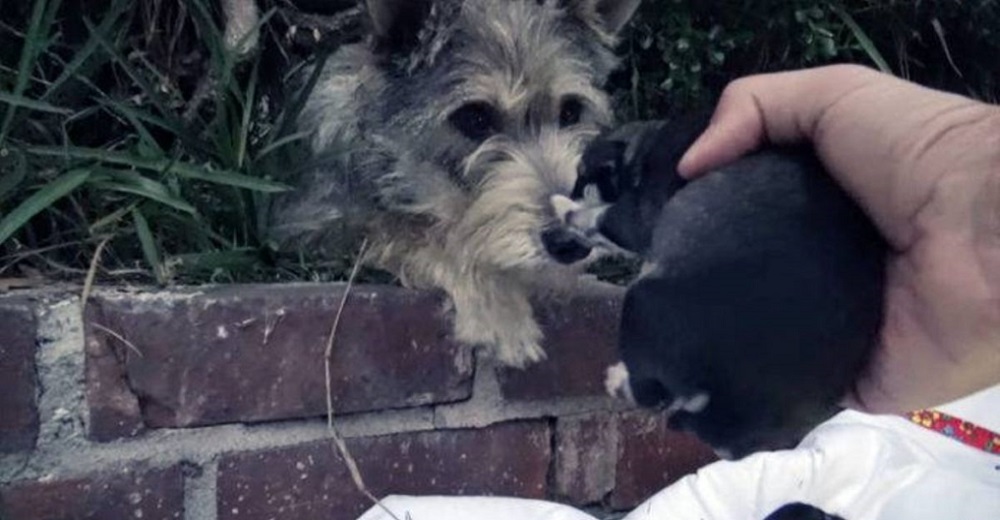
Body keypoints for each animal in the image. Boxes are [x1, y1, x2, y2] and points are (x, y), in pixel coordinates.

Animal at [270, 0, 640, 366]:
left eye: (570, 112)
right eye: (474, 118)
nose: (572, 242)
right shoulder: (307, 226)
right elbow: (410, 231)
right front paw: (500, 313)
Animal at [556, 116, 892, 458]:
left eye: (581, 180)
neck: (642, 146)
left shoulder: (638, 215)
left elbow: (598, 217)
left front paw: (563, 206)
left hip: (640, 303)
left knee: (649, 392)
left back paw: (615, 378)